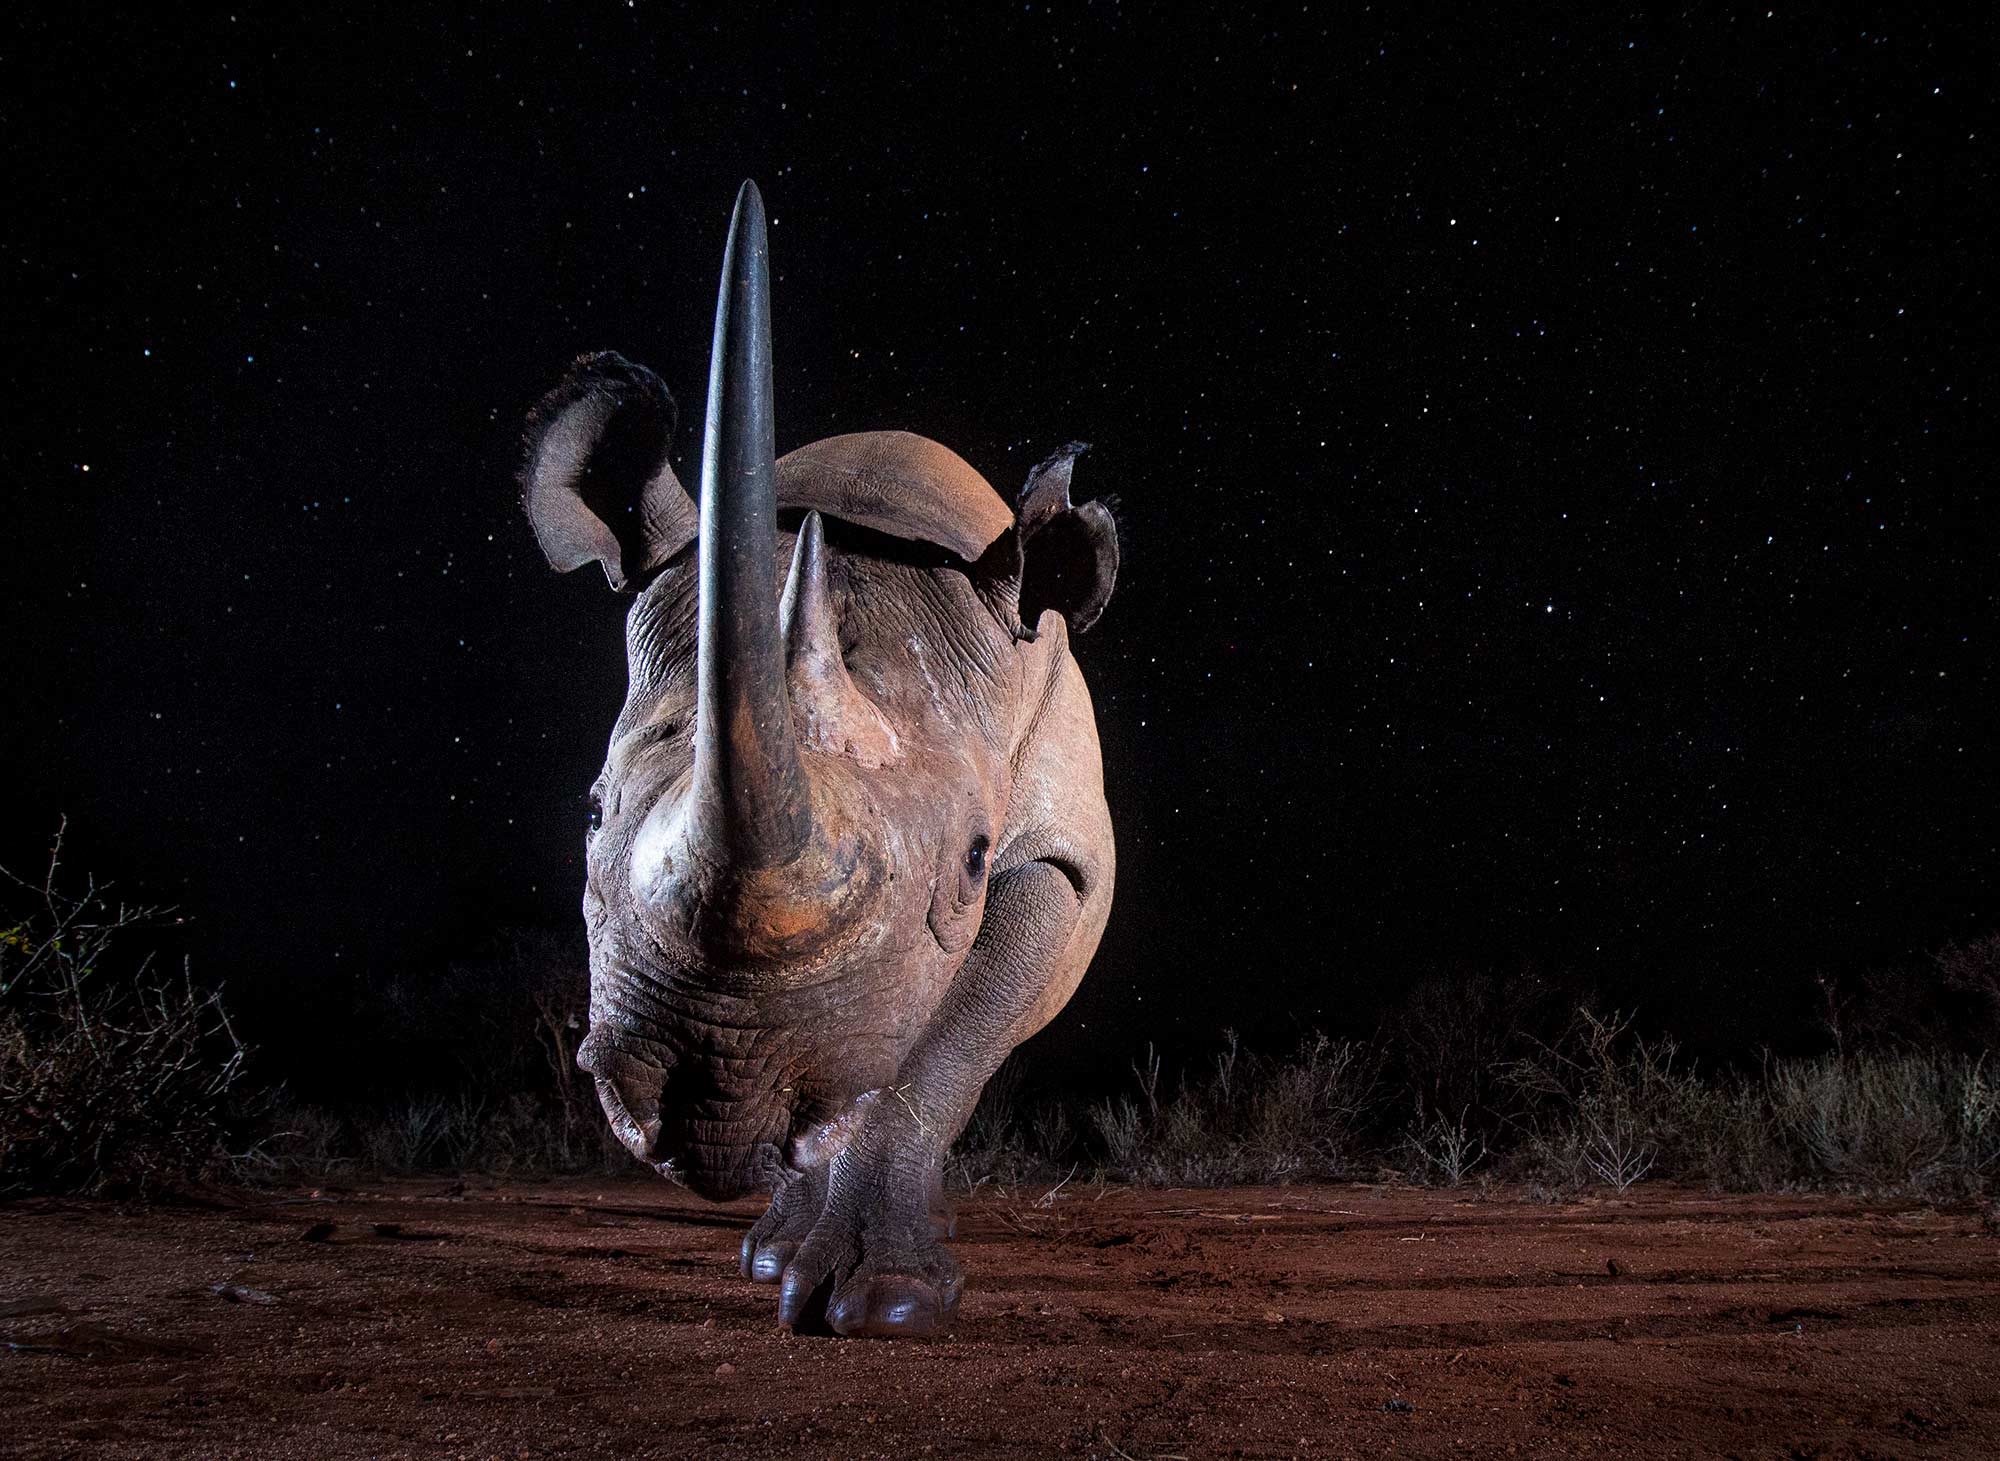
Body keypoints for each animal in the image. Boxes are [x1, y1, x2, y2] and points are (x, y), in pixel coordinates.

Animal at [518, 182, 1119, 1336]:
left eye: (975, 860)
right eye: (590, 809)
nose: (712, 1100)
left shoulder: (1059, 860)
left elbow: (941, 1050)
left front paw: (887, 1306)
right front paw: (820, 1270)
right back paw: (769, 1249)